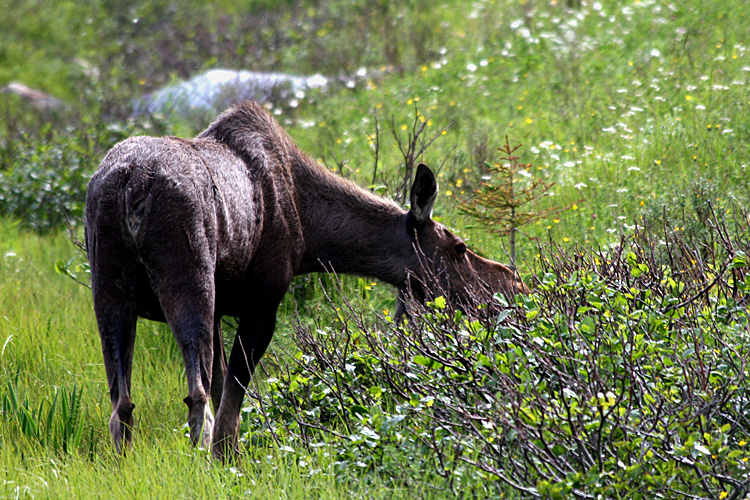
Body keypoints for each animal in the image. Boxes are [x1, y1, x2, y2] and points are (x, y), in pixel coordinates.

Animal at [84, 100, 527, 461]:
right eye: (459, 247)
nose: (512, 283)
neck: (312, 234)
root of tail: (132, 186)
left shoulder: (221, 311)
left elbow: (225, 389)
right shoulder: (261, 303)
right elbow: (231, 404)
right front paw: (226, 463)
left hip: (109, 292)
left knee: (121, 404)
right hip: (189, 282)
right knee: (196, 398)